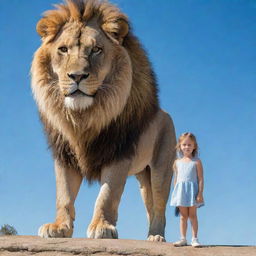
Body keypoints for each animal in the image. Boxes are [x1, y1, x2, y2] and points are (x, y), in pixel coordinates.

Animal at [31, 0, 176, 242]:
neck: (84, 117)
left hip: (160, 171)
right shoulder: (64, 154)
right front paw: (59, 227)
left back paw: (156, 237)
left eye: (96, 50)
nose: (77, 76)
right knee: (149, 206)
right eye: (63, 49)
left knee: (159, 207)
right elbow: (64, 195)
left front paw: (102, 227)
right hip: (142, 175)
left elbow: (108, 194)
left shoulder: (118, 151)